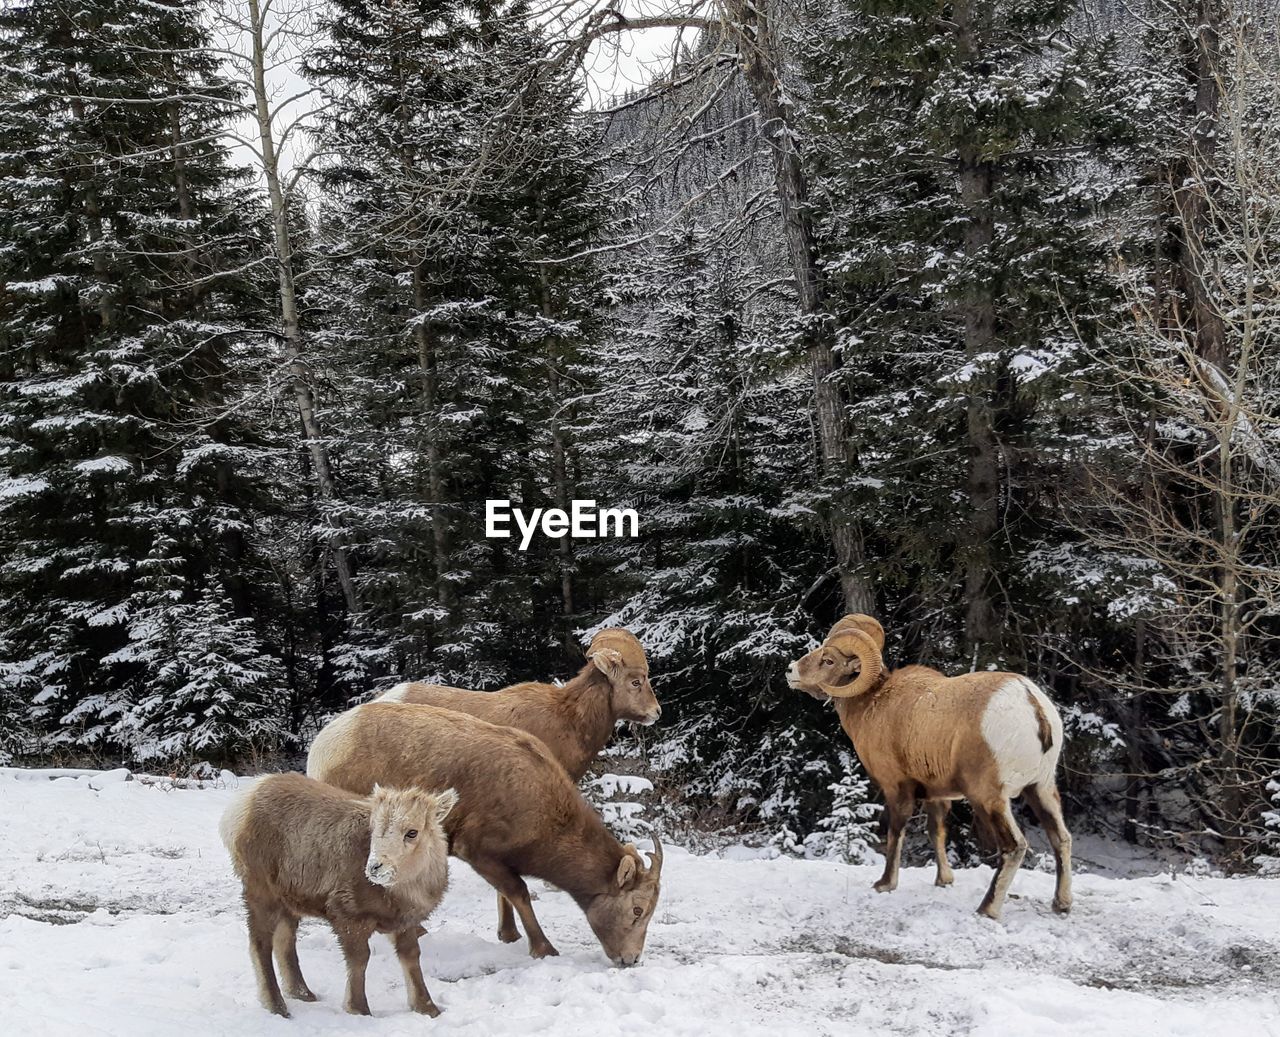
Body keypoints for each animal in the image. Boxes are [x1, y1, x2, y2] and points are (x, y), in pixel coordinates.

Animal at [217, 773, 458, 1013]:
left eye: (412, 832)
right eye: (373, 829)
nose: (375, 867)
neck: (402, 894)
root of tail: (239, 808)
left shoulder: (404, 922)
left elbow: (411, 956)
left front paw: (427, 1008)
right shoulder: (348, 915)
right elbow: (359, 960)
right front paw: (358, 1008)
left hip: (288, 899)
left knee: (284, 941)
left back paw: (301, 993)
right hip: (260, 888)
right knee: (260, 943)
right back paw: (276, 1005)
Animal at [302, 696, 660, 962]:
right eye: (637, 909)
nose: (630, 959)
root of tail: (321, 749)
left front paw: (508, 935)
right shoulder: (475, 849)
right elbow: (518, 891)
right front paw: (542, 948)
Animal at [788, 609, 1070, 916]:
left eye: (828, 660)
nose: (791, 670)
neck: (873, 704)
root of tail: (1032, 704)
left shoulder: (896, 788)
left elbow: (895, 831)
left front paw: (885, 884)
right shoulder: (936, 794)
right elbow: (937, 831)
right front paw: (943, 880)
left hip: (988, 797)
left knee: (1014, 846)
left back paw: (987, 910)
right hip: (1040, 789)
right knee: (1061, 838)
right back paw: (1062, 904)